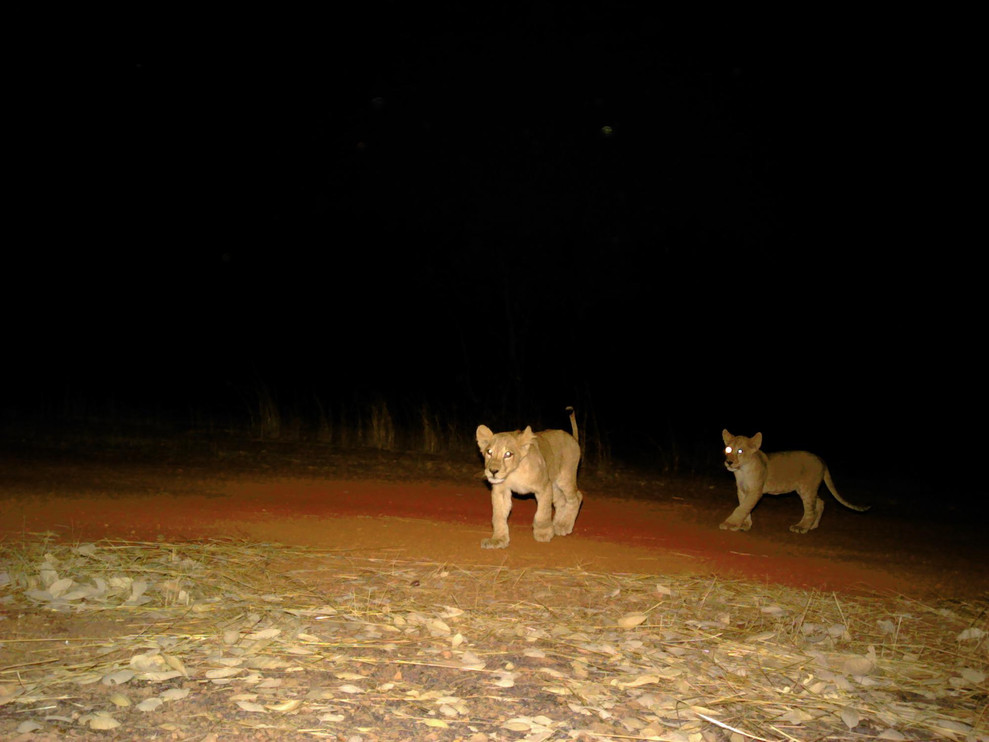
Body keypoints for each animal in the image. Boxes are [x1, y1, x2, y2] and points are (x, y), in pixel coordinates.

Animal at [475, 407, 583, 549]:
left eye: (508, 454)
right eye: (489, 452)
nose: (493, 471)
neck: (513, 473)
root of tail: (572, 438)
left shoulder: (544, 487)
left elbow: (542, 513)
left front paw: (543, 533)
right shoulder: (500, 491)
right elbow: (498, 516)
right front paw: (498, 539)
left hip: (565, 478)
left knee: (576, 497)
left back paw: (563, 525)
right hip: (554, 484)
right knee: (561, 502)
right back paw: (556, 524)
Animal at [720, 429, 870, 534]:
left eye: (740, 451)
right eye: (728, 449)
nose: (729, 462)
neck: (741, 471)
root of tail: (821, 459)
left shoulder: (755, 491)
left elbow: (742, 508)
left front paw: (729, 524)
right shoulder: (742, 491)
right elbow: (744, 507)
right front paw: (745, 524)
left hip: (807, 488)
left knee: (810, 510)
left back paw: (801, 527)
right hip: (806, 489)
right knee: (820, 503)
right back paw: (813, 526)